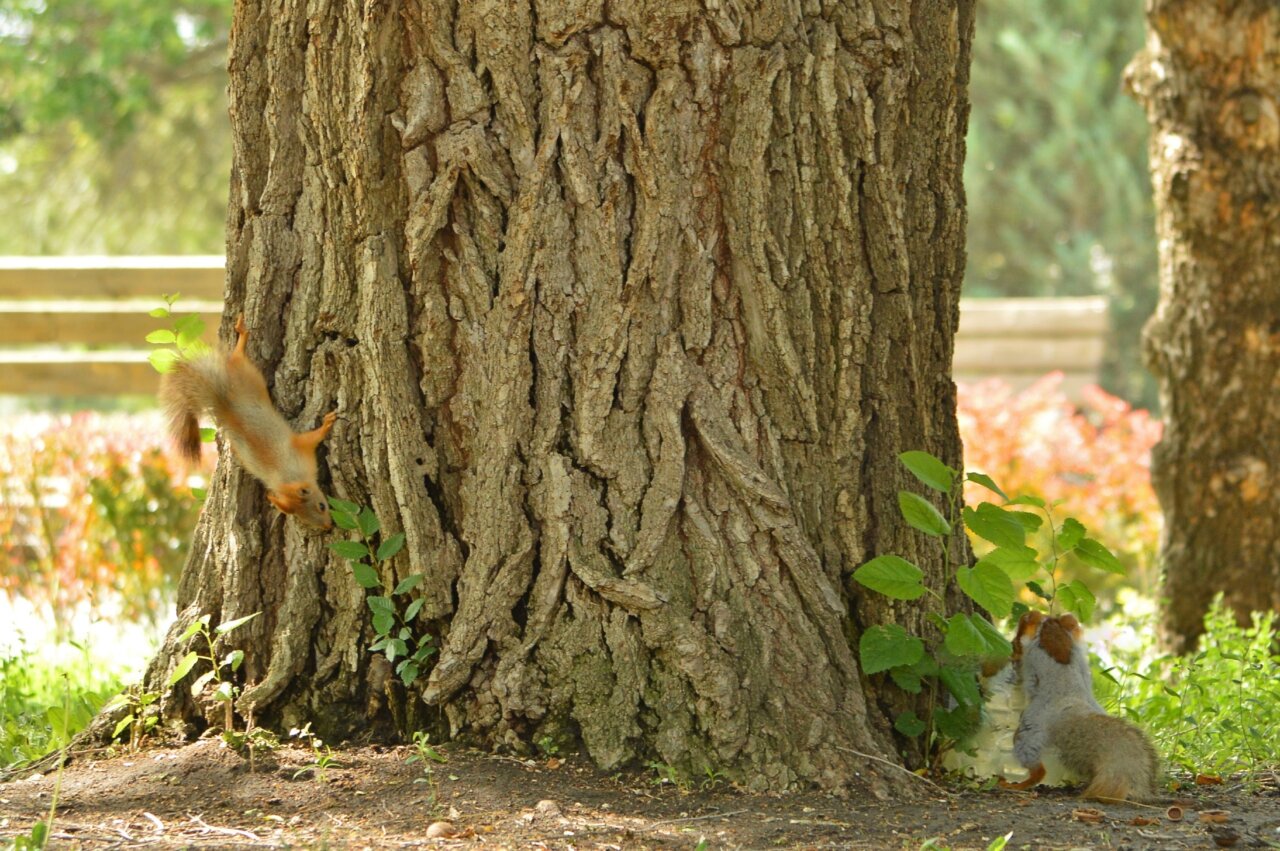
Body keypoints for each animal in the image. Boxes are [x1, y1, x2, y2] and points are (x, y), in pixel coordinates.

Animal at [160, 314, 337, 527]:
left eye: (322, 506)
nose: (328, 527)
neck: (287, 477)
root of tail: (225, 402)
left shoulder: (299, 449)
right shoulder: (300, 448)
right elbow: (312, 437)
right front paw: (327, 424)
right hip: (246, 373)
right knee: (237, 356)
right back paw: (243, 334)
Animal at [998, 606, 1162, 798]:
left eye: (1024, 621)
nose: (1013, 638)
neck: (1055, 636)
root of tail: (1070, 707)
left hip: (1028, 730)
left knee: (1037, 769)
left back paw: (1017, 784)